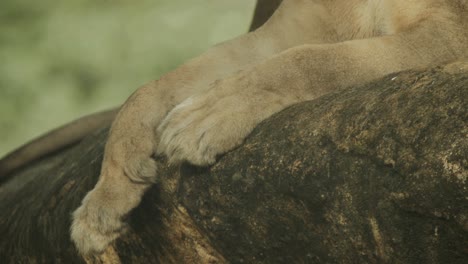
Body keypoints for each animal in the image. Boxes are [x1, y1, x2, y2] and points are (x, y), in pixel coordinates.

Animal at [0, 0, 468, 256]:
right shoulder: (292, 27)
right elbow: (152, 87)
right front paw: (106, 198)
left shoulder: (450, 35)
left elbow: (310, 60)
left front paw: (207, 116)